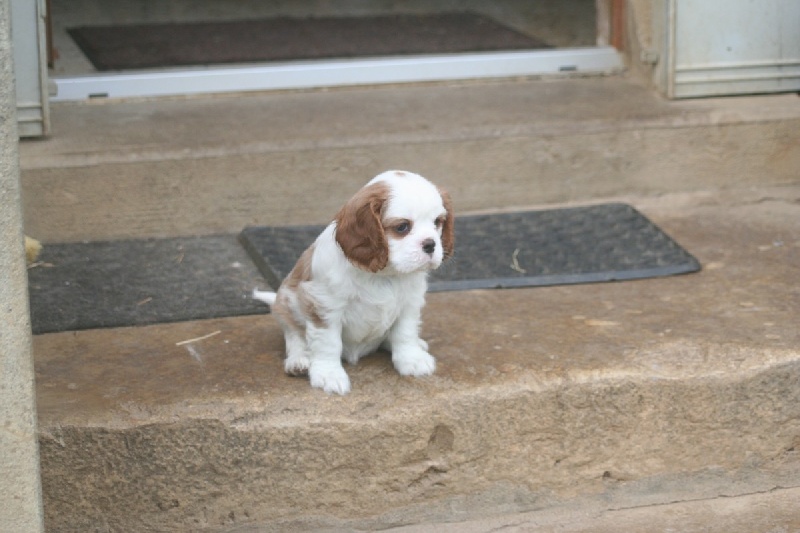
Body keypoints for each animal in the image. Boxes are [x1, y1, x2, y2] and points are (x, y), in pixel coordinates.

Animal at [256, 171, 456, 394]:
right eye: (402, 227)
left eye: (437, 222)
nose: (431, 245)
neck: (384, 274)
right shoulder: (325, 306)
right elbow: (328, 343)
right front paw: (329, 374)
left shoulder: (410, 303)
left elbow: (405, 332)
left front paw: (412, 359)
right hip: (286, 304)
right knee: (295, 337)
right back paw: (299, 361)